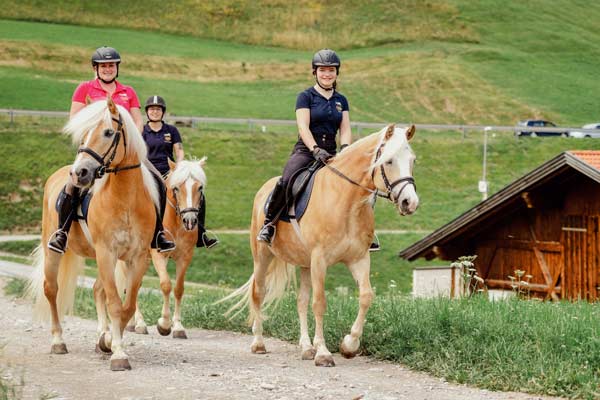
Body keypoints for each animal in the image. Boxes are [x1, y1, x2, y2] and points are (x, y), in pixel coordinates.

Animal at [28, 97, 159, 372]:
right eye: (83, 134)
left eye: (108, 132)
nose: (79, 174)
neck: (125, 199)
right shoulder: (106, 253)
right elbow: (115, 303)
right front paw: (118, 353)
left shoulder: (138, 258)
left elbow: (127, 305)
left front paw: (108, 341)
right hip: (53, 250)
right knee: (51, 289)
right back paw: (58, 341)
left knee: (98, 289)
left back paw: (102, 335)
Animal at [117, 158, 209, 340]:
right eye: (176, 188)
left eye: (200, 187)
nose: (190, 220)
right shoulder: (159, 255)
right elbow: (166, 285)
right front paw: (164, 325)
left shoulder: (185, 257)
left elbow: (179, 289)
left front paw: (178, 327)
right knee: (132, 286)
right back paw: (138, 324)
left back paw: (132, 323)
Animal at [224, 124, 418, 366]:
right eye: (389, 161)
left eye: (412, 160)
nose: (410, 203)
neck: (348, 202)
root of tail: (264, 189)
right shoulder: (320, 260)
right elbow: (320, 303)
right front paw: (324, 353)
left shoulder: (359, 258)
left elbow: (365, 296)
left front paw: (349, 345)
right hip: (263, 256)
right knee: (258, 292)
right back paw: (259, 343)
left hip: (305, 264)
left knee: (300, 301)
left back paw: (307, 347)